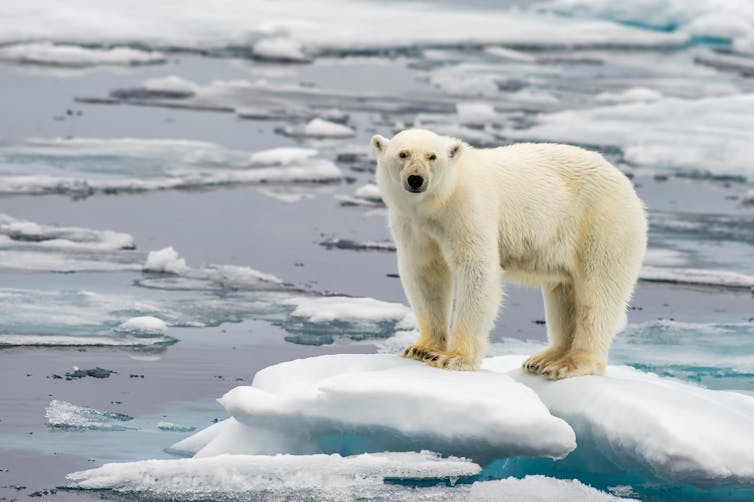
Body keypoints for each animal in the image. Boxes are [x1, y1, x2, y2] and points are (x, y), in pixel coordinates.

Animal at [370, 129, 648, 380]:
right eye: (403, 154)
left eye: (432, 156)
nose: (416, 179)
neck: (438, 202)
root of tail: (627, 185)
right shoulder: (413, 225)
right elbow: (426, 275)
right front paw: (421, 348)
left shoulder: (468, 209)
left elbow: (477, 270)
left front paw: (452, 358)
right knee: (564, 292)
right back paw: (543, 359)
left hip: (602, 223)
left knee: (598, 293)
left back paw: (570, 364)